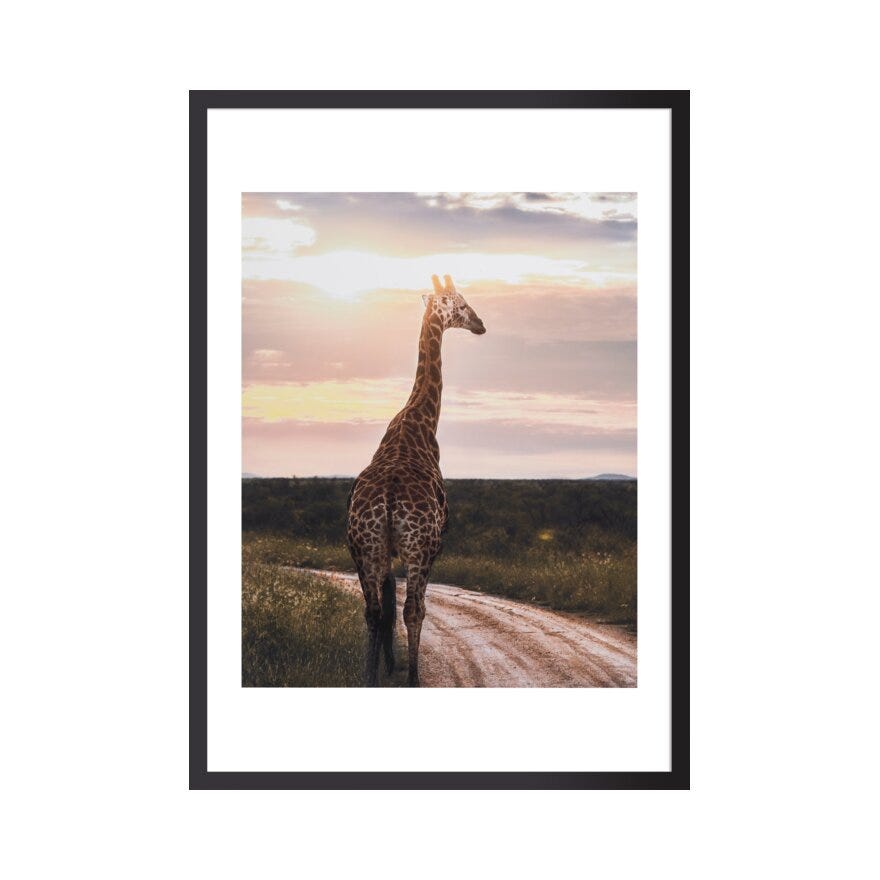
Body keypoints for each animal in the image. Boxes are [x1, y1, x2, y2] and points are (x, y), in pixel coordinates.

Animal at [346, 274, 486, 686]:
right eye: (461, 304)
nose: (480, 324)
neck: (418, 421)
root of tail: (389, 502)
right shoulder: (431, 546)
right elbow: (412, 608)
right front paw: (402, 669)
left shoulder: (385, 552)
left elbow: (386, 606)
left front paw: (386, 665)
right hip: (419, 548)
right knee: (413, 608)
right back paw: (412, 678)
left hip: (364, 548)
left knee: (374, 610)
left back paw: (370, 677)